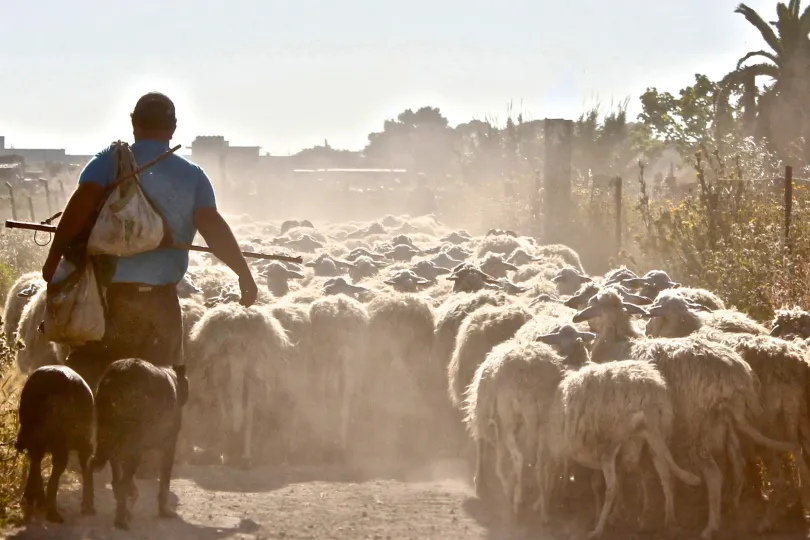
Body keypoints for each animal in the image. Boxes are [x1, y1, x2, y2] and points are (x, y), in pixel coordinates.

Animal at [15, 364, 94, 520]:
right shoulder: (85, 444)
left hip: (31, 432)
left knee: (36, 462)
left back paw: (33, 502)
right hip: (59, 441)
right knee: (54, 470)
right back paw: (53, 514)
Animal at [90, 356, 184, 528]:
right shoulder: (169, 443)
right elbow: (165, 480)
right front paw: (164, 511)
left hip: (110, 439)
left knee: (112, 478)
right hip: (133, 447)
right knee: (121, 484)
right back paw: (121, 521)